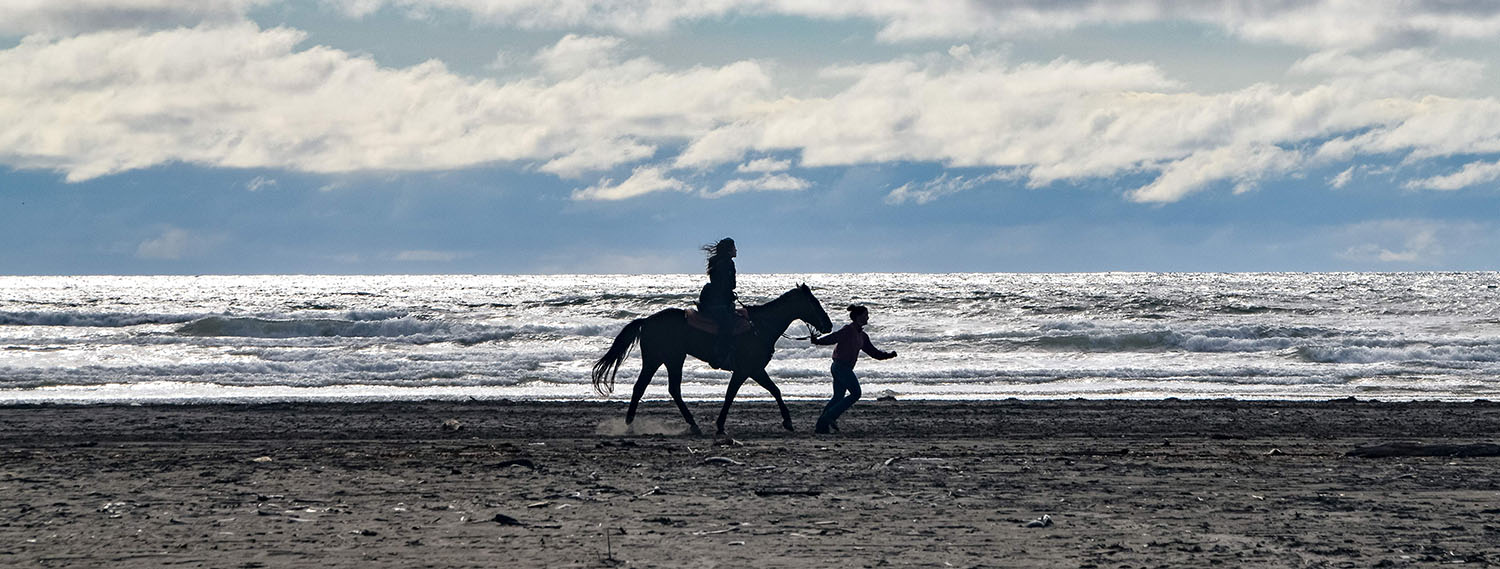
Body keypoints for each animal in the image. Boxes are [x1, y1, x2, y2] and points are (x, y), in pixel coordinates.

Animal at [594, 285, 834, 435]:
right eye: (813, 302)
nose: (828, 325)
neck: (759, 326)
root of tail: (646, 320)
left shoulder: (752, 370)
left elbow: (768, 391)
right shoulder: (749, 369)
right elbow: (740, 394)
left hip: (663, 359)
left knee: (650, 388)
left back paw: (635, 425)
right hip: (668, 358)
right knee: (660, 388)